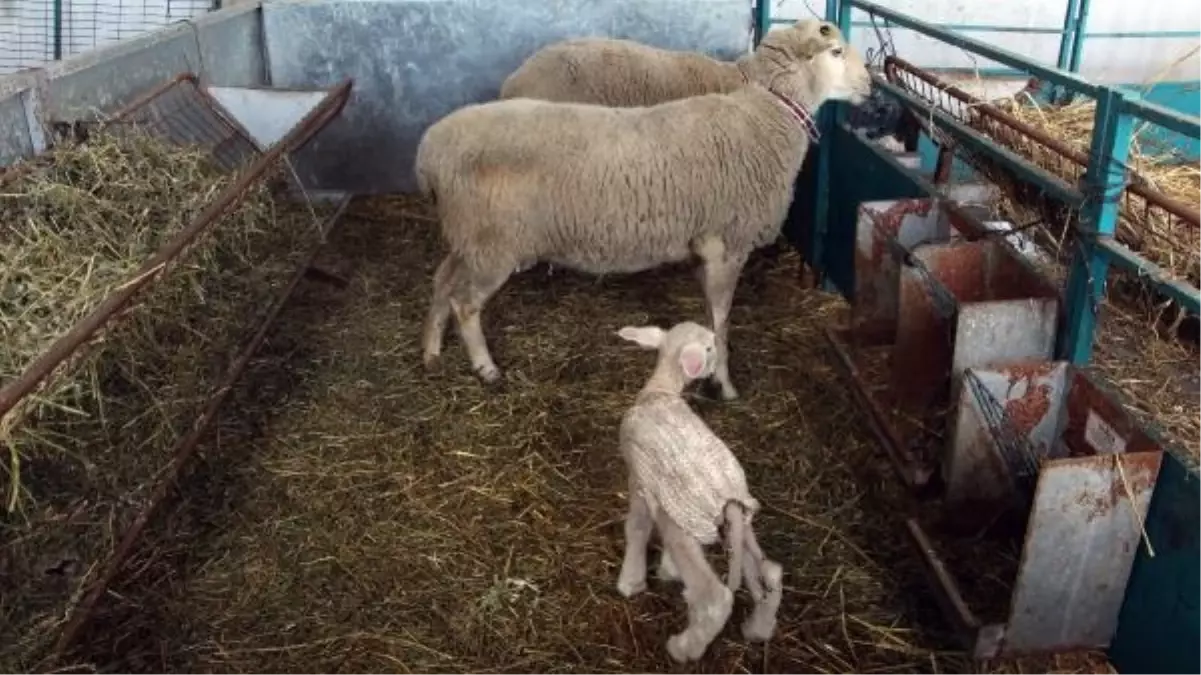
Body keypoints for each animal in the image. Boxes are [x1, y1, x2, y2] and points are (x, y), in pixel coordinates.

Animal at [417, 22, 869, 398]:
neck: (766, 116)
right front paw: (724, 385)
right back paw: (485, 368)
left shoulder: (704, 247)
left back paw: (431, 350)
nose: (869, 83)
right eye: (835, 51)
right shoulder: (728, 243)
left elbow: (710, 316)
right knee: (465, 304)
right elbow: (722, 322)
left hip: (469, 237)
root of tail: (428, 152)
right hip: (493, 244)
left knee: (442, 279)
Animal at [614, 319, 783, 662]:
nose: (717, 364)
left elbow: (636, 527)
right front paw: (667, 571)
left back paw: (683, 648)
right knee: (770, 573)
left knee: (715, 598)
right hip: (737, 525)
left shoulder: (639, 480)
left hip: (688, 524)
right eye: (708, 346)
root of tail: (730, 499)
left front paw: (631, 581)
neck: (660, 390)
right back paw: (758, 628)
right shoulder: (657, 493)